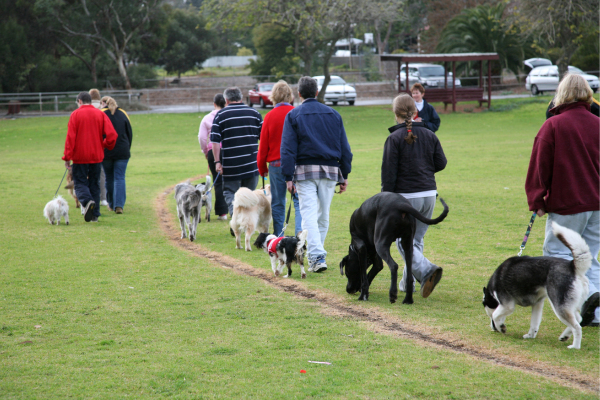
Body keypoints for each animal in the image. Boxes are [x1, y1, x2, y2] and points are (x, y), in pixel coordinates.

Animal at [482, 222, 592, 350]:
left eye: (489, 315)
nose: (493, 328)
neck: (492, 291)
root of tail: (572, 266)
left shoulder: (507, 305)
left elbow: (496, 315)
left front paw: (501, 327)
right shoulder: (537, 303)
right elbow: (534, 324)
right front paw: (530, 335)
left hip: (560, 306)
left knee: (577, 326)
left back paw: (575, 346)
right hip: (569, 304)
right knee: (578, 319)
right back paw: (565, 336)